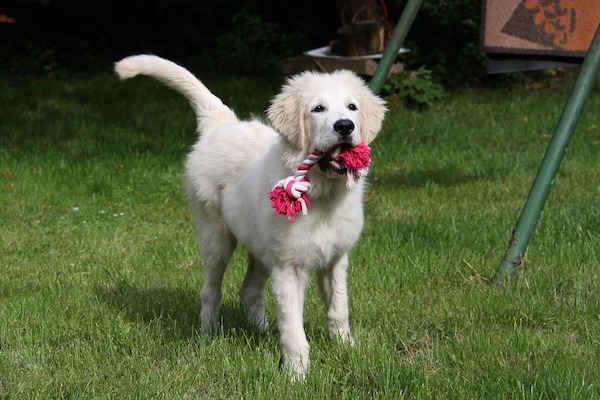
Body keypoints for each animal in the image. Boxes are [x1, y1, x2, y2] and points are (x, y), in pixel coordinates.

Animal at [115, 54, 386, 376]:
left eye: (352, 107)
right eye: (318, 109)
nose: (344, 126)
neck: (323, 195)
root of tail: (223, 123)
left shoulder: (335, 259)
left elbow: (339, 309)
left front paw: (347, 349)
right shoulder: (289, 268)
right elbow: (293, 329)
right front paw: (296, 375)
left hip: (261, 246)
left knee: (250, 290)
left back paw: (262, 331)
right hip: (216, 236)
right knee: (211, 290)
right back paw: (209, 333)